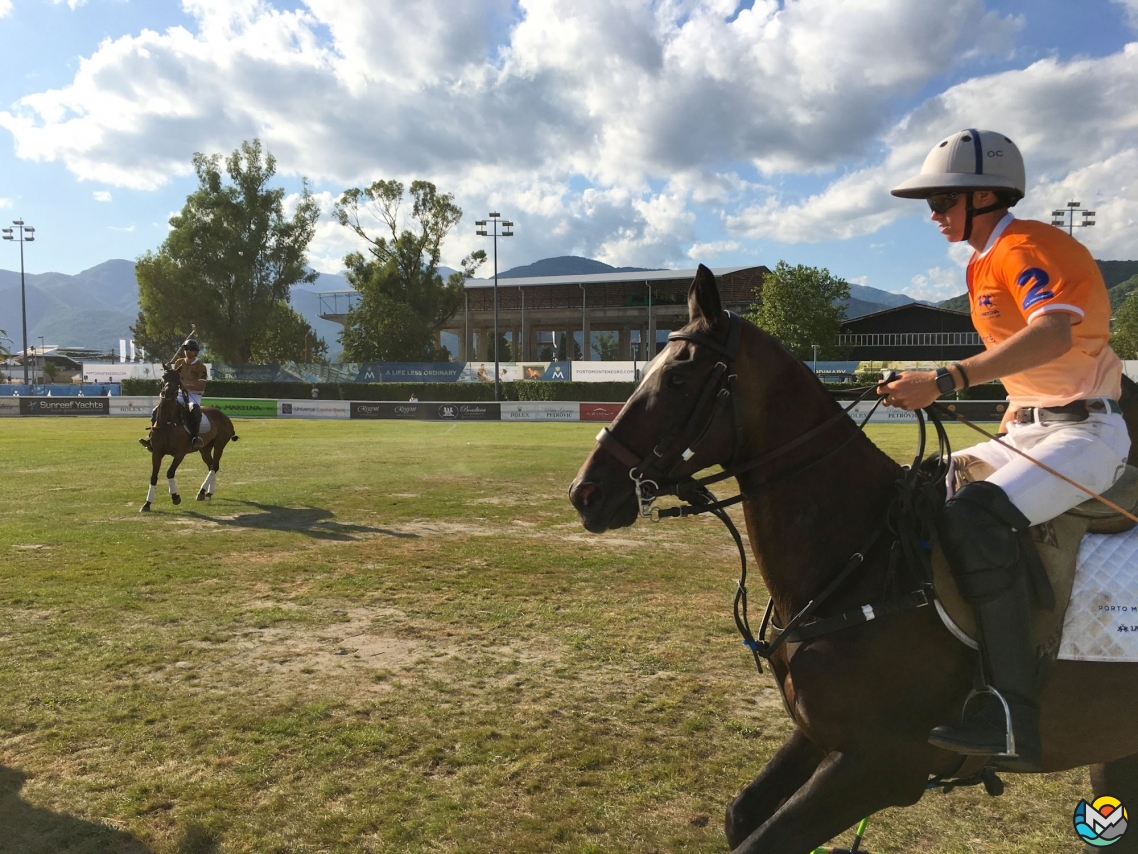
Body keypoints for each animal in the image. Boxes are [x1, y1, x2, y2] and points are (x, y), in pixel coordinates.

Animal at [142, 368, 240, 514]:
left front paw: (175, 497)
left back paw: (202, 492)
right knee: (211, 465)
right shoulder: (157, 452)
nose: (167, 393)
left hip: (219, 444)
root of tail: (225, 416)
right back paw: (208, 493)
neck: (168, 422)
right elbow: (153, 476)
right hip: (205, 448)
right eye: (163, 377)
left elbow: (169, 472)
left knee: (214, 466)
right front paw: (147, 504)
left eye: (178, 380)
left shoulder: (179, 453)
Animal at [573, 264, 1138, 851]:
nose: (584, 493)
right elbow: (741, 815)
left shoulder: (880, 766)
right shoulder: (819, 734)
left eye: (679, 379)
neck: (864, 558)